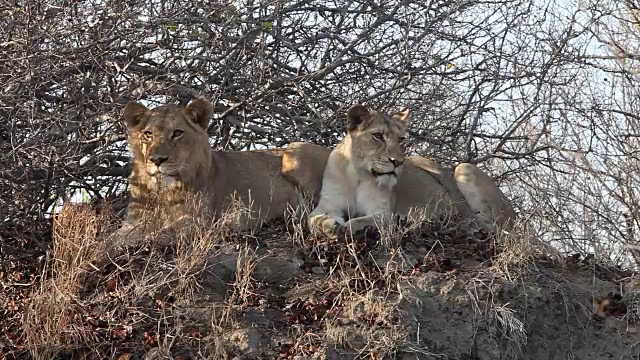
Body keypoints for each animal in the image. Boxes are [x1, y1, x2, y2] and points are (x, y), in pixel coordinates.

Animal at [123, 97, 302, 232]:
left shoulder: (199, 219)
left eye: (177, 133)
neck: (162, 193)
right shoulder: (134, 218)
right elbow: (123, 235)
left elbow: (163, 230)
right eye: (148, 134)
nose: (157, 160)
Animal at [282, 104, 516, 236]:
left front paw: (348, 227)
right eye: (378, 136)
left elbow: (361, 221)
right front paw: (329, 225)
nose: (397, 162)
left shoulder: (382, 212)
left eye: (401, 139)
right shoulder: (327, 205)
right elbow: (312, 219)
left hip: (463, 168)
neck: (359, 176)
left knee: (492, 225)